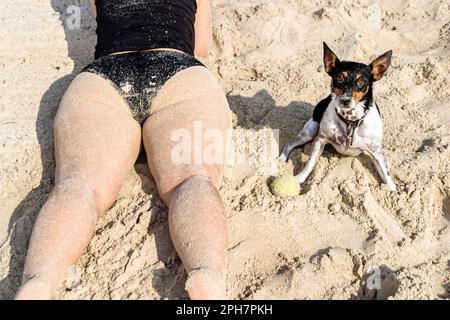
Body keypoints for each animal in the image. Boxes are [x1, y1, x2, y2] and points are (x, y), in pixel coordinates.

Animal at [278, 42, 398, 192]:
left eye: (362, 81)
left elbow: (386, 174)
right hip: (310, 131)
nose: (345, 100)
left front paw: (393, 190)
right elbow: (310, 163)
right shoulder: (320, 140)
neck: (350, 121)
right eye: (338, 78)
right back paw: (281, 159)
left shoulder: (376, 152)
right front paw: (299, 178)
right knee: (290, 143)